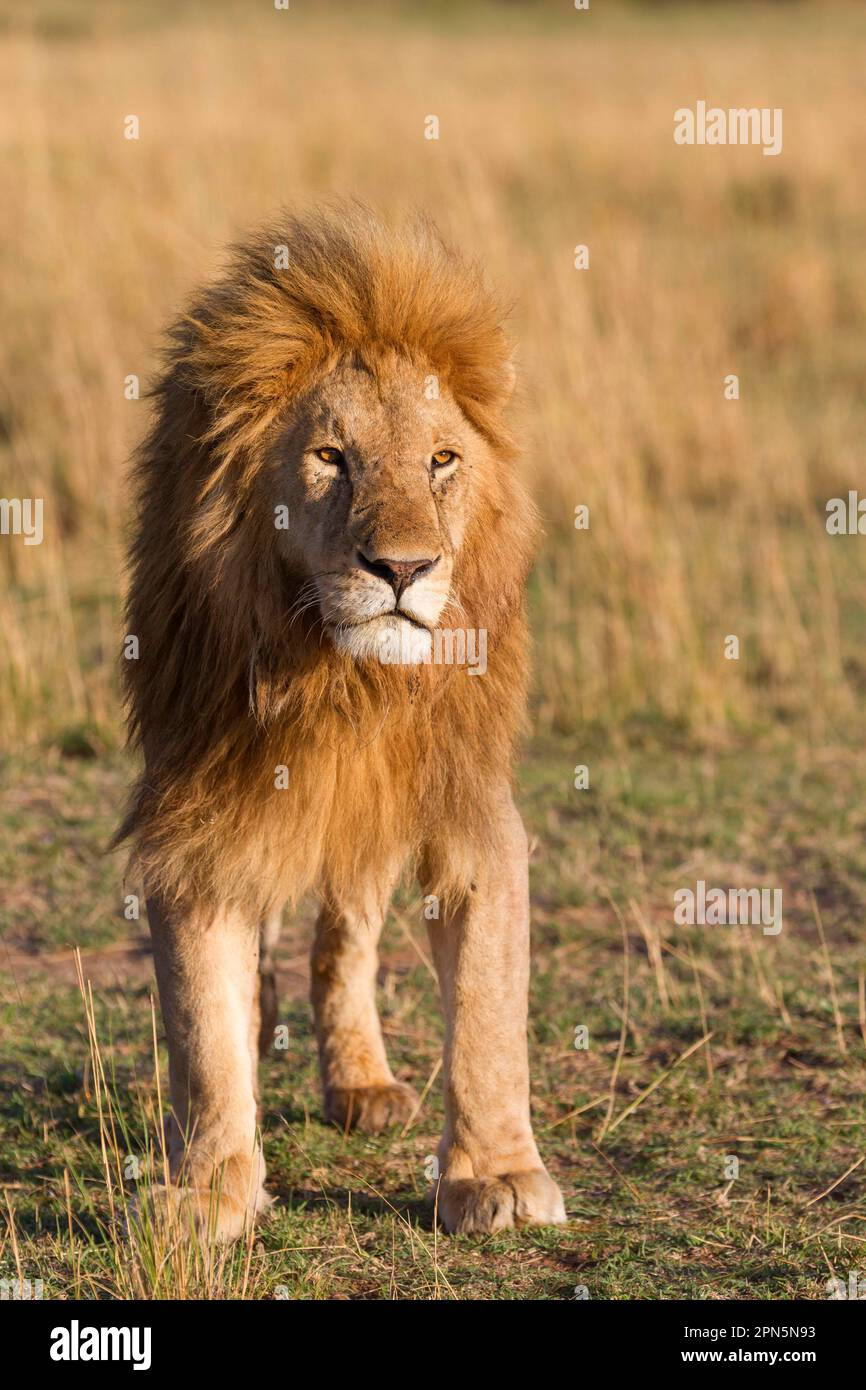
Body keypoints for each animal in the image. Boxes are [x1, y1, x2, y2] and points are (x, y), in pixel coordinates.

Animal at [118, 202, 569, 1239]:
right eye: (331, 458)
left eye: (442, 460)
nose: (402, 569)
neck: (338, 680)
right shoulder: (197, 814)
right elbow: (203, 1029)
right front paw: (210, 1190)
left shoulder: (465, 808)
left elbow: (488, 1010)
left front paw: (496, 1175)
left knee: (346, 934)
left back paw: (362, 1082)